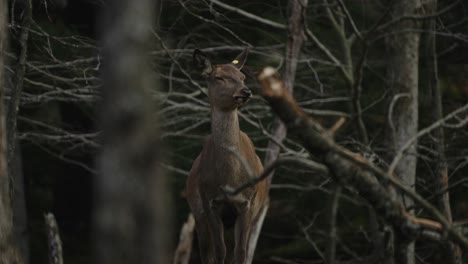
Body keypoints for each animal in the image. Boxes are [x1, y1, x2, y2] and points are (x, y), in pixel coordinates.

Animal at [186, 48, 268, 264]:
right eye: (218, 77)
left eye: (242, 76)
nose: (245, 91)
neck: (230, 179)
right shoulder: (210, 202)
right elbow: (218, 250)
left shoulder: (247, 203)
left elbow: (240, 251)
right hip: (197, 212)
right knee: (206, 250)